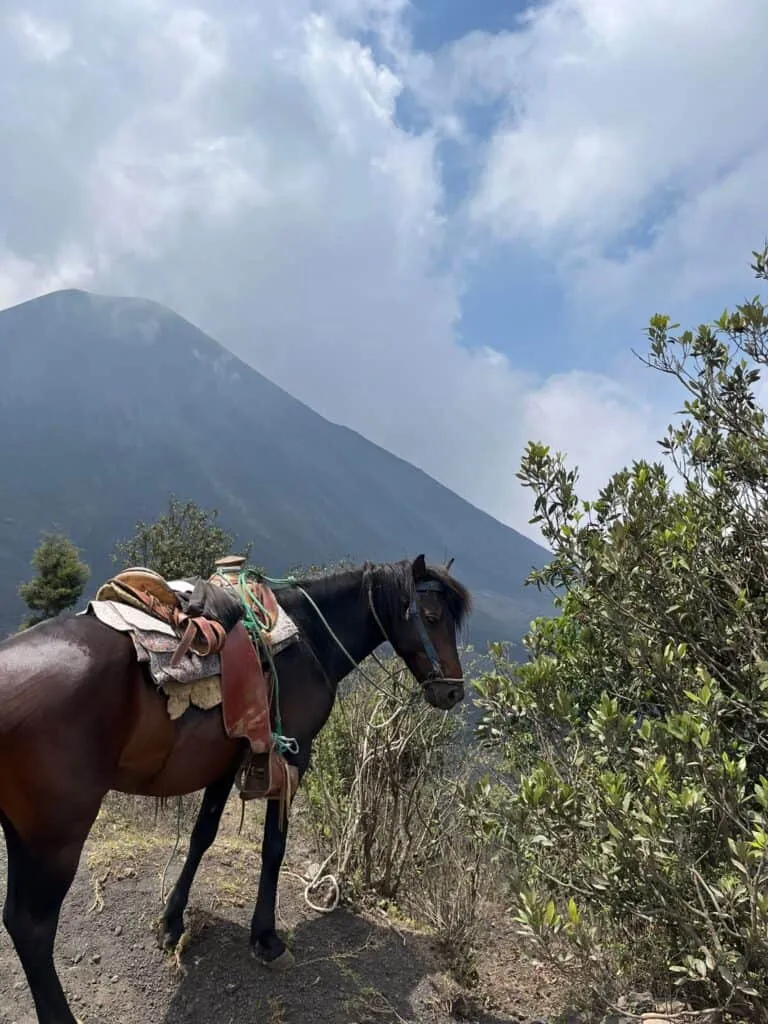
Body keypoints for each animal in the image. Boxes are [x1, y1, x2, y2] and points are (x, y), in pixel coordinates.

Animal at [0, 554, 471, 1024]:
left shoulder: (226, 760)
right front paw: (265, 937)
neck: (312, 638)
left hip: (23, 830)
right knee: (32, 928)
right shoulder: (294, 753)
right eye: (432, 617)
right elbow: (273, 847)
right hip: (56, 837)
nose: (453, 692)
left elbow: (202, 836)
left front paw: (172, 922)